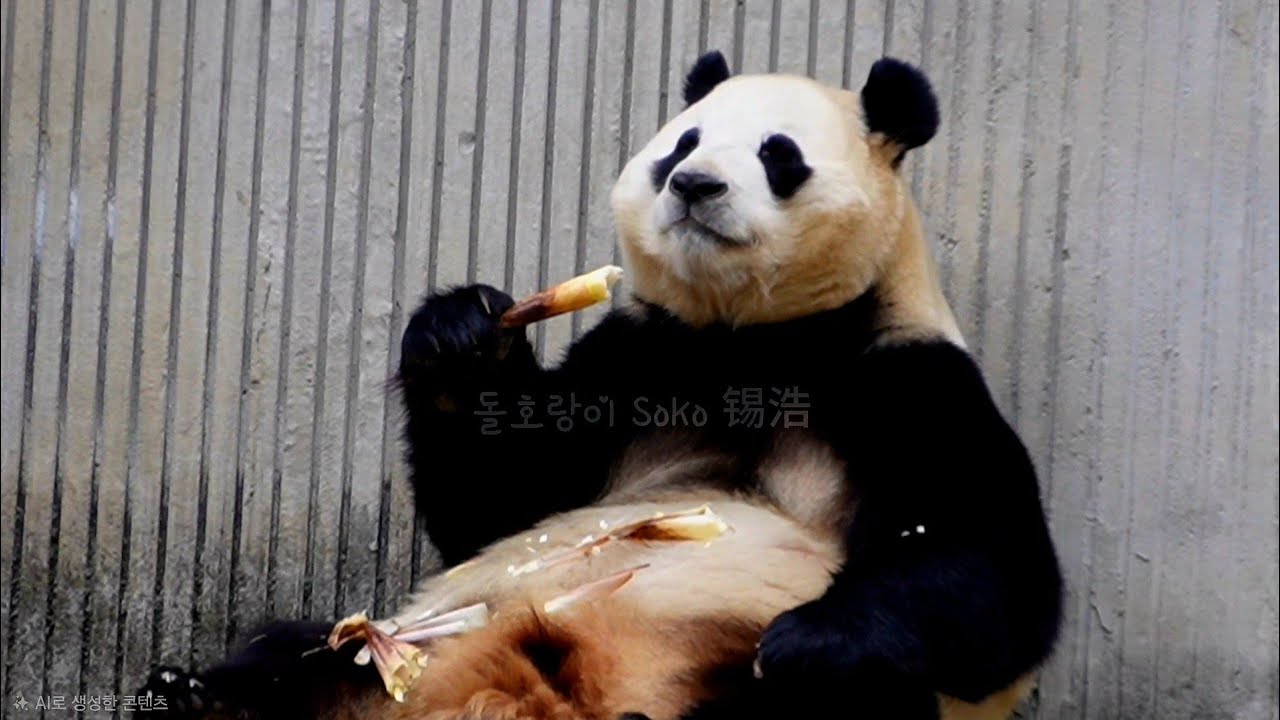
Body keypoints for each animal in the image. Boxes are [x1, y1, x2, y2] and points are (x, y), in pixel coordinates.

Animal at [142, 51, 1063, 720]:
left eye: (777, 155)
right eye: (681, 146)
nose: (694, 185)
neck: (752, 341)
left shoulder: (908, 379)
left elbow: (992, 575)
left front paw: (805, 640)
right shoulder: (639, 360)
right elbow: (503, 503)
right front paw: (460, 337)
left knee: (854, 691)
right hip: (400, 653)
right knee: (295, 652)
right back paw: (192, 697)